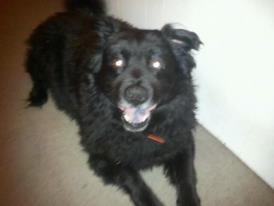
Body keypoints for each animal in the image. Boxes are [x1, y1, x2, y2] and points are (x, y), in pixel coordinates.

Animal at [25, 0, 201, 205]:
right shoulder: (102, 156)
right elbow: (134, 180)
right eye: (117, 62)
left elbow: (186, 176)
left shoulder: (181, 139)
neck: (141, 132)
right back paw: (38, 96)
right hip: (40, 58)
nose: (136, 96)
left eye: (157, 64)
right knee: (36, 75)